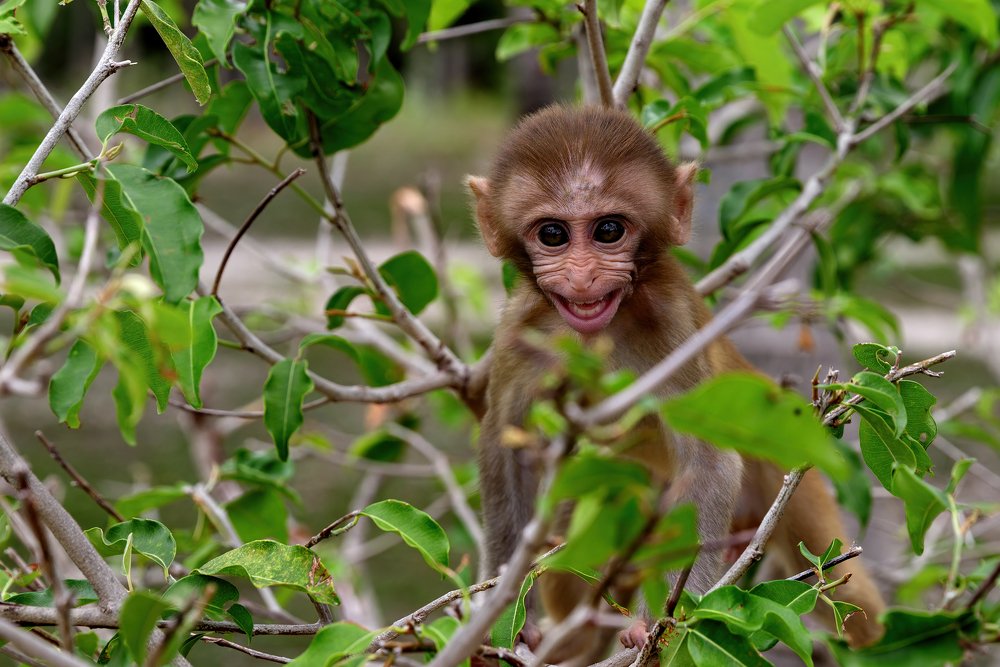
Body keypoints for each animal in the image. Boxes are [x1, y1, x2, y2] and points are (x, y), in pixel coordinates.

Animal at [467, 105, 885, 657]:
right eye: (552, 235)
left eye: (608, 230)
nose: (581, 278)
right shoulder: (521, 332)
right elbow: (506, 444)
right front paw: (507, 615)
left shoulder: (672, 326)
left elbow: (709, 462)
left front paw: (665, 626)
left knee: (857, 610)